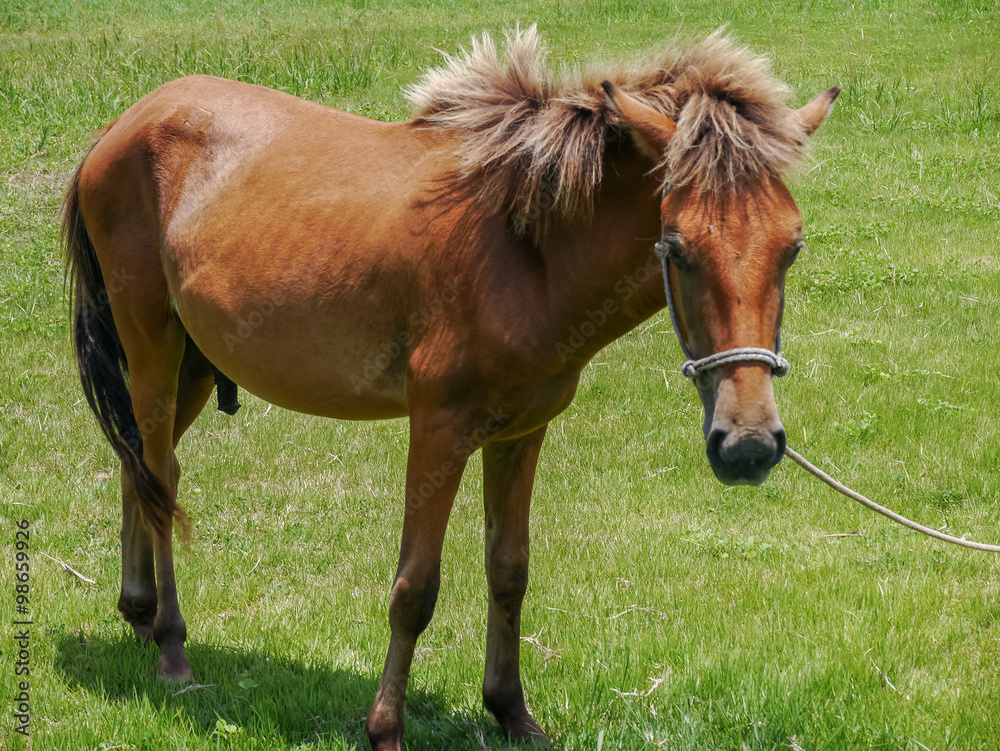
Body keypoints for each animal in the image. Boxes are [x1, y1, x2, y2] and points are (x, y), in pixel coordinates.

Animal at [64, 27, 837, 750]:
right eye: (677, 246)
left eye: (792, 247)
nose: (747, 444)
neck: (523, 252)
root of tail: (123, 123)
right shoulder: (438, 430)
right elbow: (415, 589)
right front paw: (385, 727)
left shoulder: (521, 431)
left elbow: (509, 571)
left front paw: (512, 712)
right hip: (154, 346)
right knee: (160, 479)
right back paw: (171, 647)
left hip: (189, 365)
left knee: (142, 463)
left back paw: (138, 613)